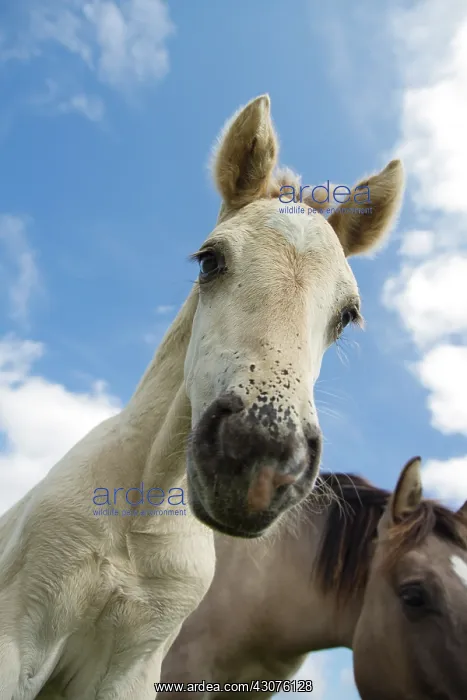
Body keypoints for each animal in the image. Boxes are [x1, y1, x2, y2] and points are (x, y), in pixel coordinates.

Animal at [0, 93, 404, 699]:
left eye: (347, 314)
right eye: (210, 260)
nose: (259, 459)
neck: (139, 517)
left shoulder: (134, 666)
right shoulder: (19, 632)